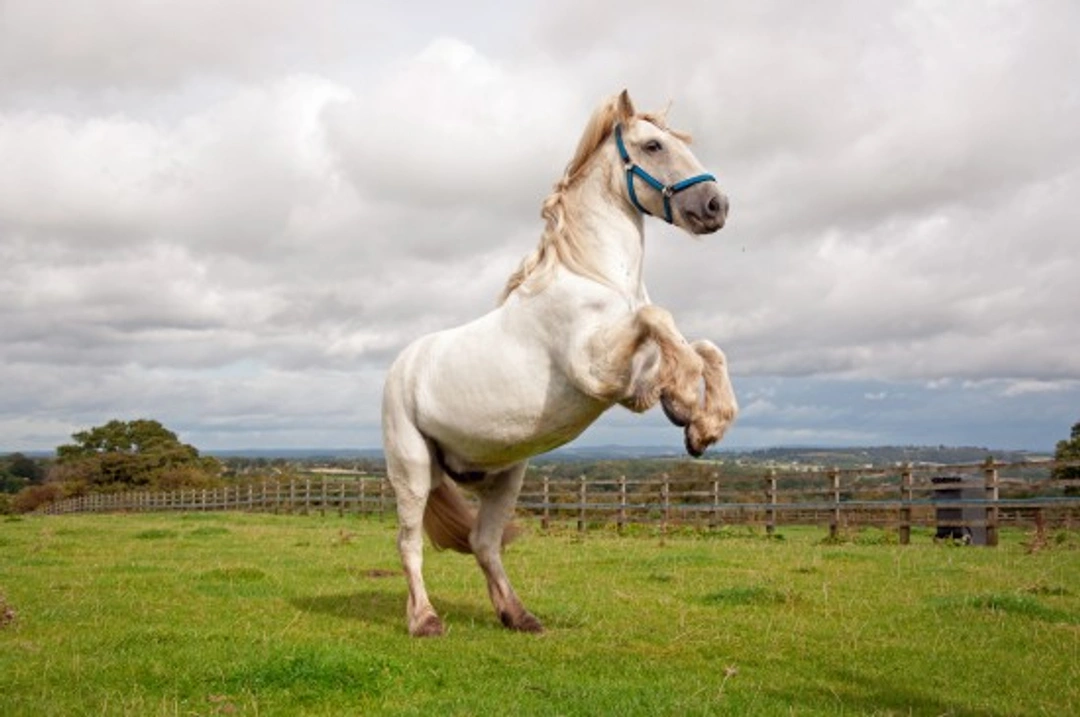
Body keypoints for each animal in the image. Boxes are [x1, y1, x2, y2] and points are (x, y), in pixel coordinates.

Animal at [381, 89, 737, 636]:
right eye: (653, 145)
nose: (716, 206)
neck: (593, 276)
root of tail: (401, 366)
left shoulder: (636, 382)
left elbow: (702, 346)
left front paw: (702, 425)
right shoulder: (601, 376)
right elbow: (660, 317)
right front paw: (686, 402)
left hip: (505, 473)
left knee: (484, 543)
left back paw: (519, 615)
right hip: (412, 468)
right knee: (409, 542)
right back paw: (425, 621)